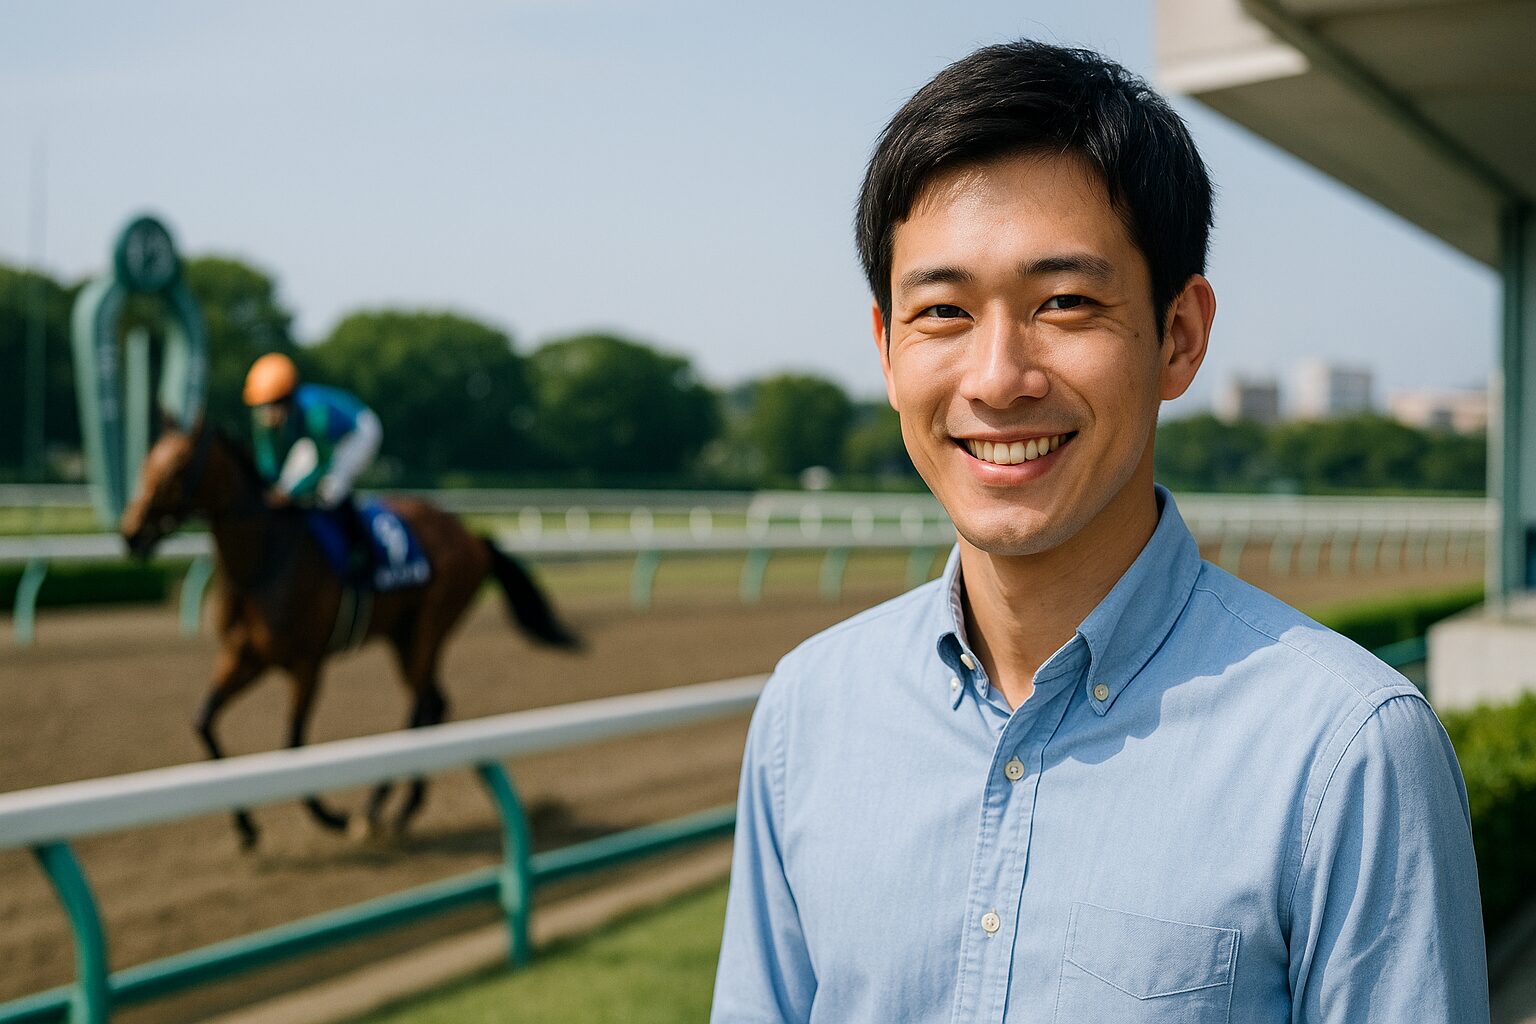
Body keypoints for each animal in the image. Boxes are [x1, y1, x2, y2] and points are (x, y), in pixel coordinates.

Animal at [119, 421, 580, 849]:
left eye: (178, 467)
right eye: (145, 463)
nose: (131, 532)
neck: (266, 559)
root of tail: (472, 535)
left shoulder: (307, 662)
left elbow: (293, 743)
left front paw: (330, 817)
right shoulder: (244, 656)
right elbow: (204, 722)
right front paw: (246, 827)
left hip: (428, 627)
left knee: (423, 706)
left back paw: (379, 807)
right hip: (402, 635)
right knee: (434, 703)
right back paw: (398, 806)